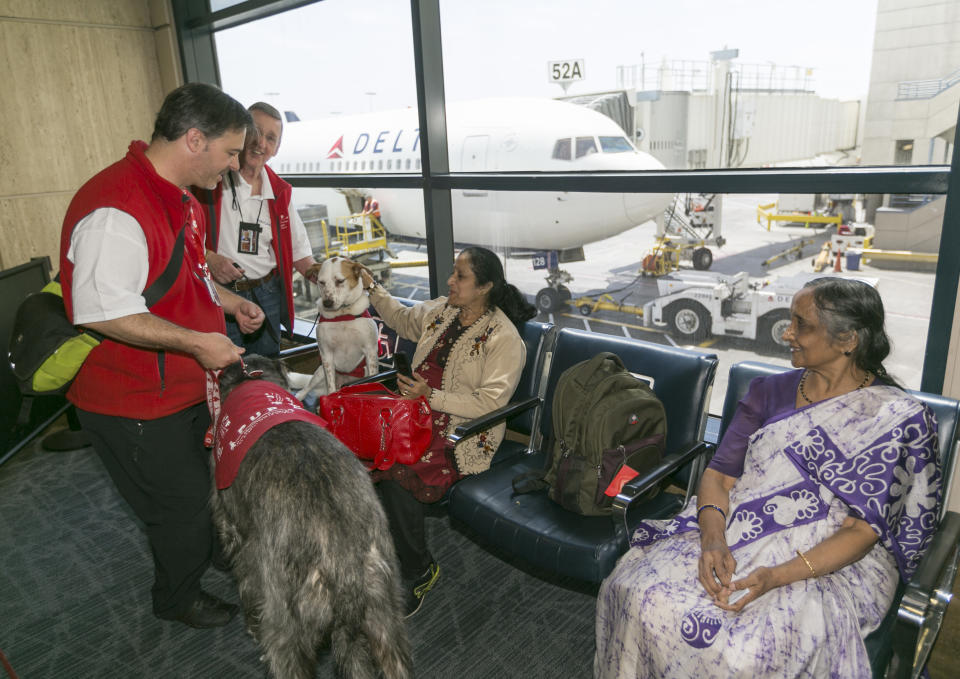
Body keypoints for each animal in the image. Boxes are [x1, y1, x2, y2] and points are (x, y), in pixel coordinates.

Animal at [212, 356, 410, 679]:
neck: (252, 381)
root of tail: (343, 563)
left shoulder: (236, 531)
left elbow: (245, 576)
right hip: (385, 614)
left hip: (288, 625)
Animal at [290, 258, 380, 402]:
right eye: (321, 282)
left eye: (340, 281)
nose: (327, 303)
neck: (343, 314)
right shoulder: (326, 355)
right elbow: (330, 386)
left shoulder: (370, 351)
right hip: (319, 373)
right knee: (306, 388)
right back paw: (299, 396)